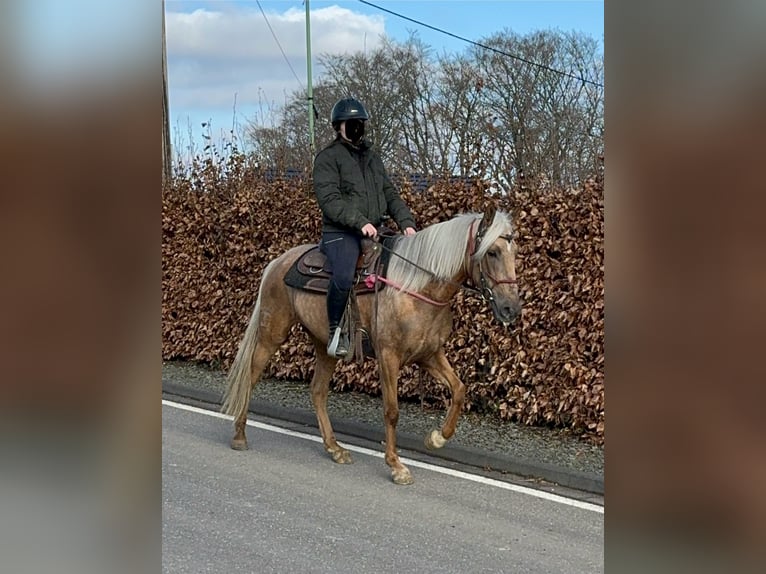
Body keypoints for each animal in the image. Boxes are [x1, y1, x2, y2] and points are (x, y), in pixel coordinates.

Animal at [222, 207, 520, 486]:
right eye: (492, 252)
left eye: (513, 251)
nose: (511, 308)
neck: (416, 288)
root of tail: (277, 262)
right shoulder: (389, 357)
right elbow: (392, 411)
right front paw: (396, 466)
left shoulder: (429, 355)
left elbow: (458, 390)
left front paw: (437, 438)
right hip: (272, 334)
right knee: (250, 377)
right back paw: (239, 435)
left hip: (324, 346)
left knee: (318, 391)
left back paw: (335, 448)